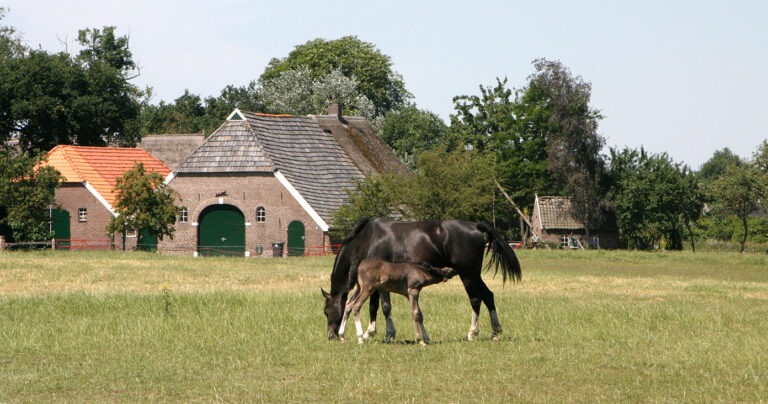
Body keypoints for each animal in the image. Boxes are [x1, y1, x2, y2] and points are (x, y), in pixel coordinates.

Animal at [320, 218, 520, 340]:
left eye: (327, 311)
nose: (330, 335)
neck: (368, 238)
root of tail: (476, 227)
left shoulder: (377, 282)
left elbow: (379, 307)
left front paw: (379, 333)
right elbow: (378, 306)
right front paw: (377, 331)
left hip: (468, 274)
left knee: (476, 299)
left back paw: (472, 332)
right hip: (474, 274)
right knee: (488, 295)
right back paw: (495, 331)